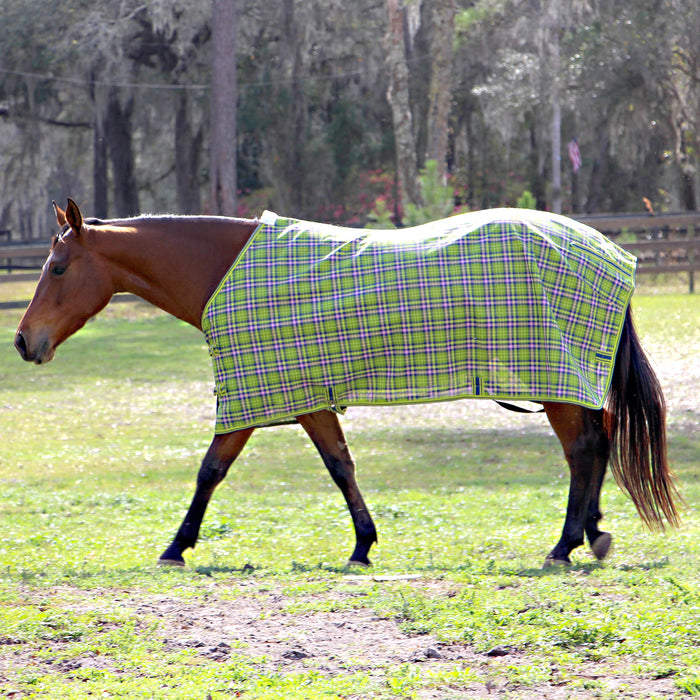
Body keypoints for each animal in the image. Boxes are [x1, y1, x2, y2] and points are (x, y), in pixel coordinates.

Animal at [15, 198, 681, 569]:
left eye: (58, 267)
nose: (23, 342)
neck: (227, 271)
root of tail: (605, 250)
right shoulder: (297, 397)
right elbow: (339, 464)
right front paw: (364, 544)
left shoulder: (265, 395)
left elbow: (213, 470)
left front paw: (177, 546)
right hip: (568, 383)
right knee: (598, 443)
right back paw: (592, 532)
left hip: (555, 382)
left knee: (584, 450)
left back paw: (566, 544)